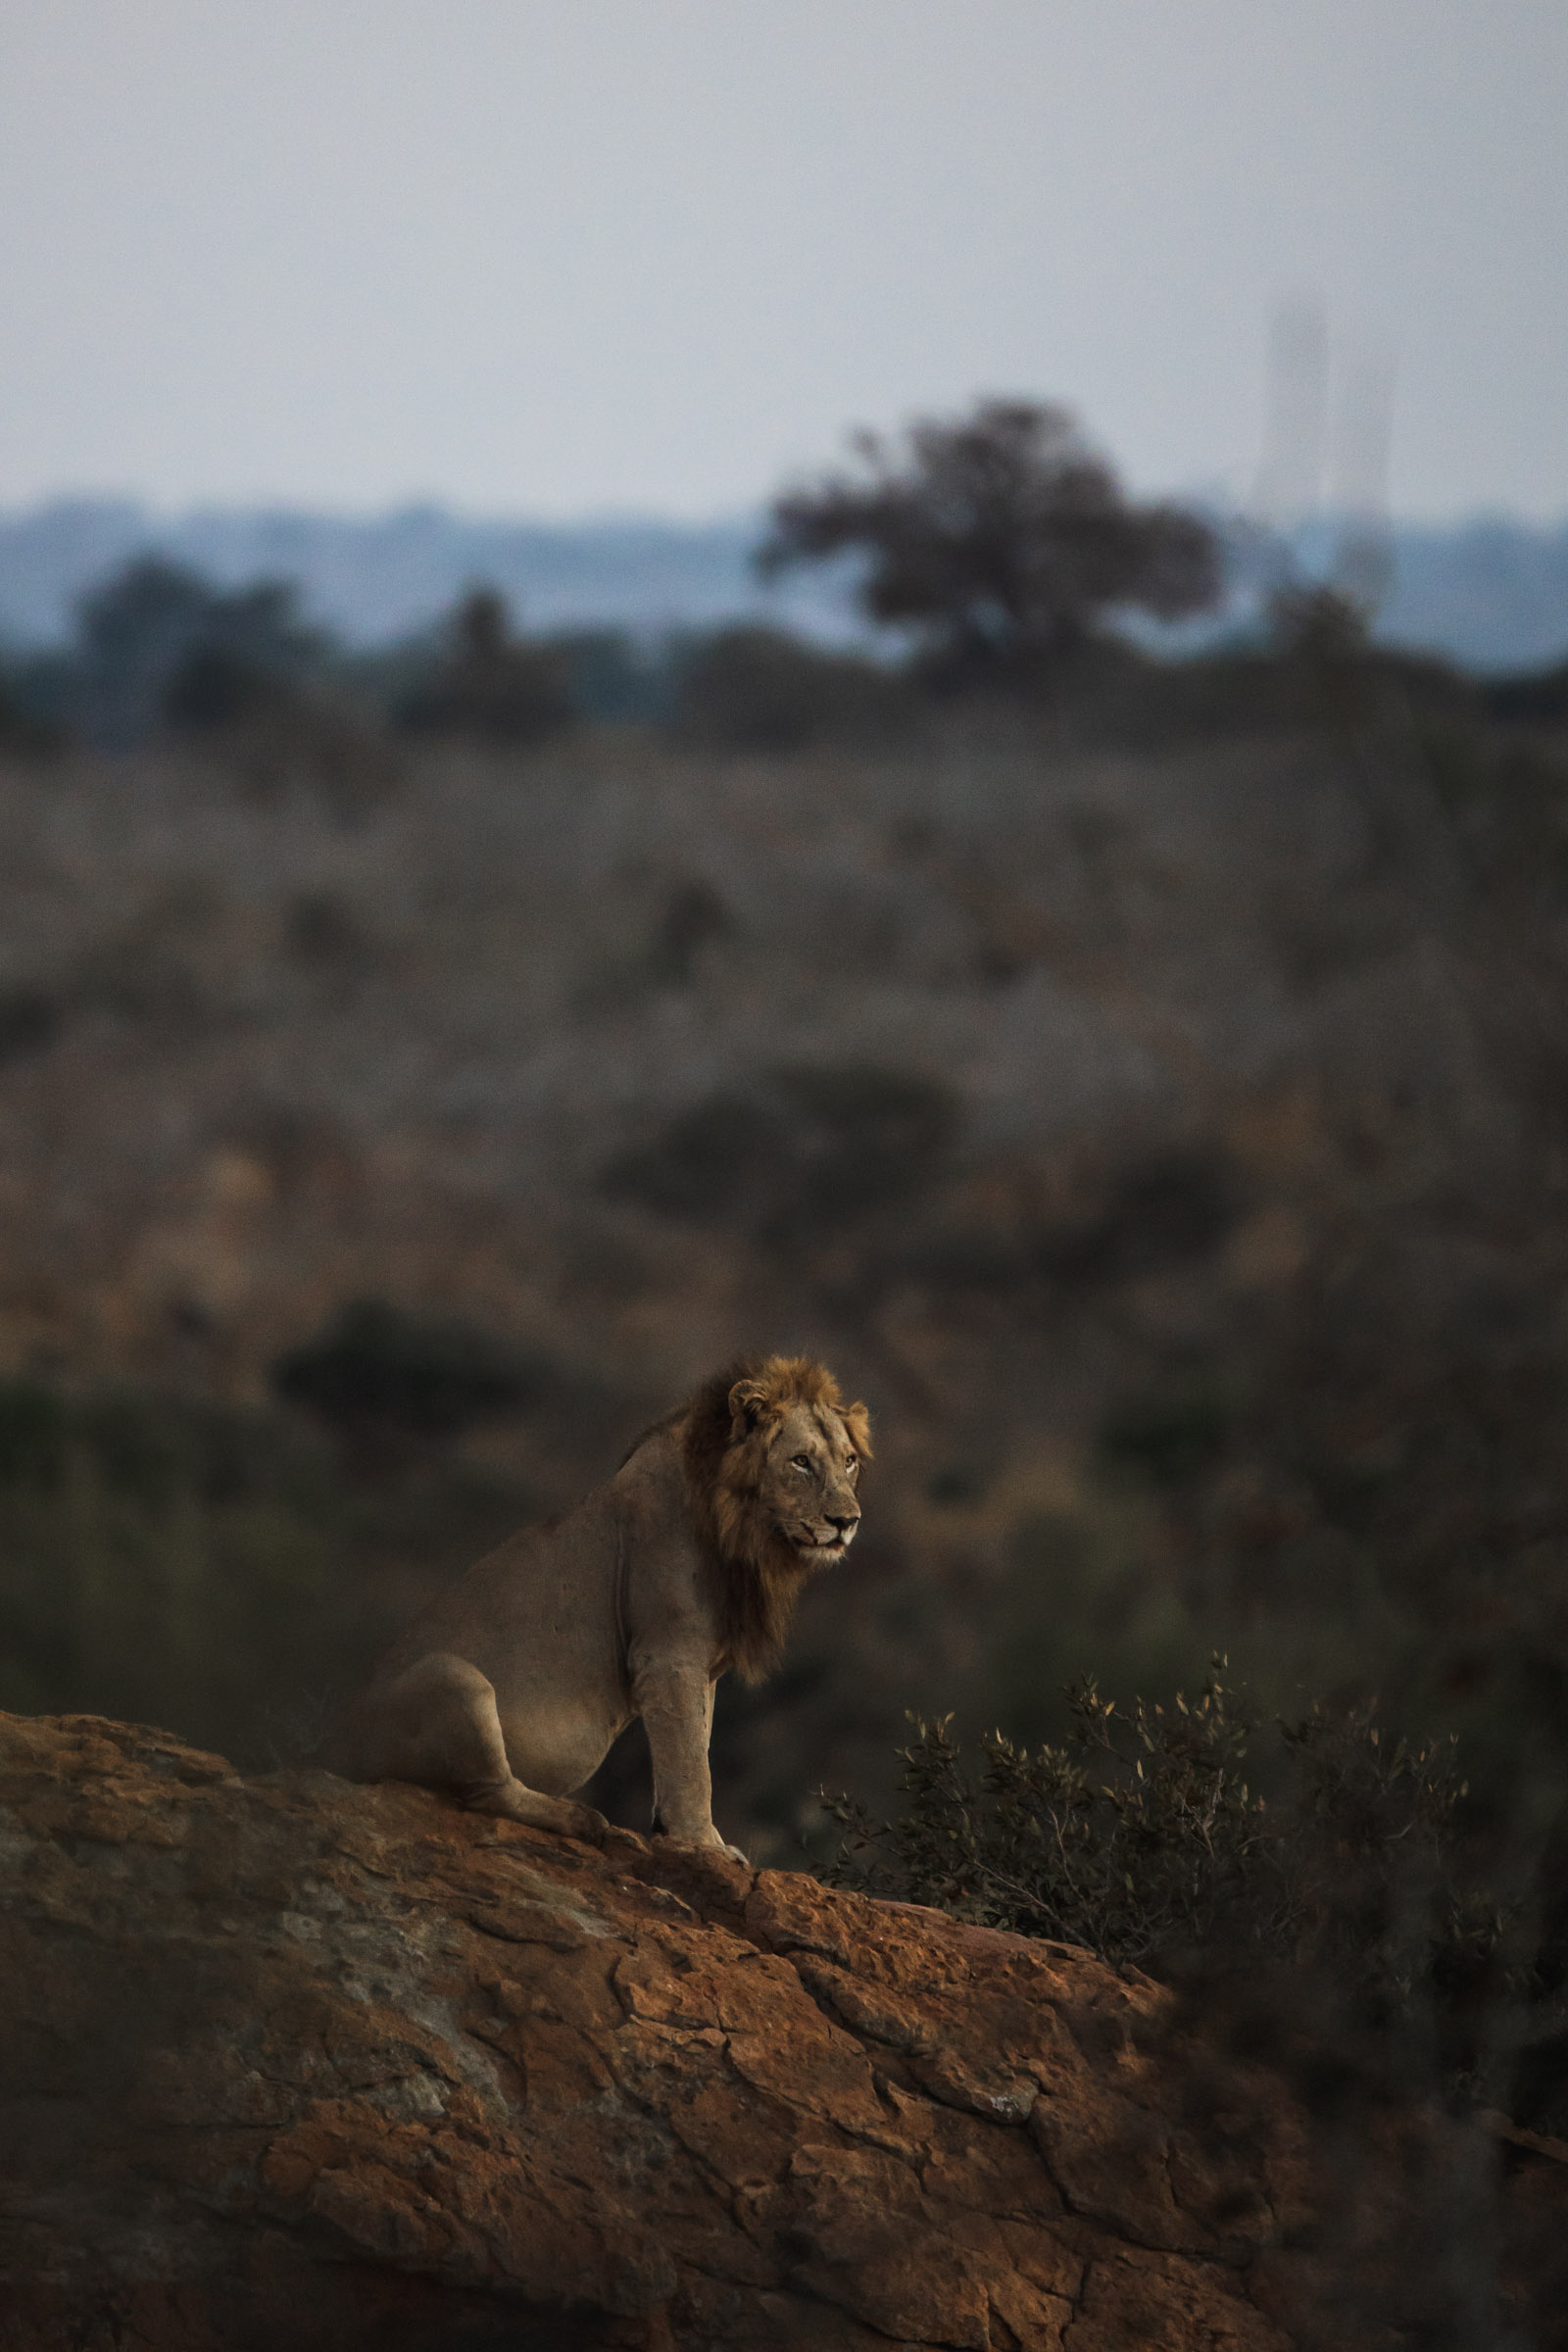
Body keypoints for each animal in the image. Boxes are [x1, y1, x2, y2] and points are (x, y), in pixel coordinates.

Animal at [317, 1354, 869, 1862]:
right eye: (801, 1461)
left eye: (848, 1462)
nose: (847, 1521)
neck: (741, 1528)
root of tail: (325, 1747)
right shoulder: (668, 1656)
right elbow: (692, 1764)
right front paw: (705, 1845)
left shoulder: (700, 1668)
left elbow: (693, 1744)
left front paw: (670, 1832)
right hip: (455, 1677)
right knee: (486, 1793)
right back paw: (583, 1820)